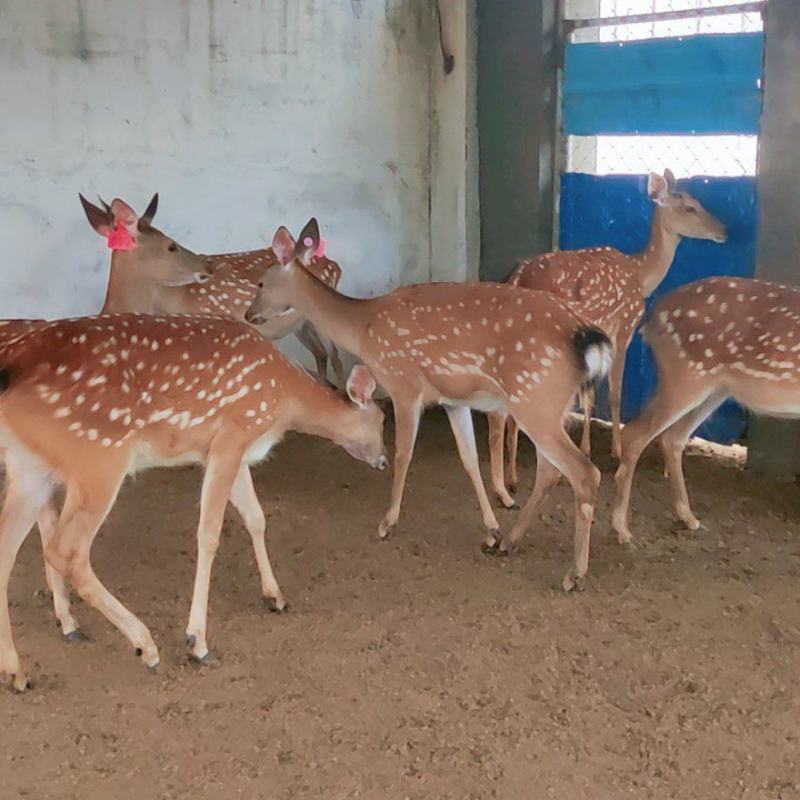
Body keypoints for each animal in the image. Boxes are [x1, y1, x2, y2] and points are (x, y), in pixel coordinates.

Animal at [0, 313, 386, 691]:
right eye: (382, 420)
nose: (383, 461)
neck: (284, 396)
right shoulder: (232, 435)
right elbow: (210, 533)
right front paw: (197, 641)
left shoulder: (234, 451)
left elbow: (256, 516)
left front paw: (274, 596)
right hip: (99, 457)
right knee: (66, 550)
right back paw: (145, 645)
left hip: (29, 466)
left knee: (9, 552)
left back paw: (18, 670)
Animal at [80, 194, 346, 385]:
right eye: (171, 246)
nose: (206, 264)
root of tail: (333, 264)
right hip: (302, 324)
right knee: (321, 355)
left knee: (336, 358)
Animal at [246, 220, 615, 592]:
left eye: (261, 281)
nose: (250, 314)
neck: (364, 330)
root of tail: (590, 341)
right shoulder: (451, 399)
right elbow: (469, 460)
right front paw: (492, 531)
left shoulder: (403, 383)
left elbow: (402, 453)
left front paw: (387, 522)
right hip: (550, 405)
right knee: (550, 471)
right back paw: (511, 541)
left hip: (535, 398)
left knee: (585, 472)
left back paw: (574, 573)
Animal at [487, 169, 727, 507]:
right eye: (689, 207)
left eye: (698, 200)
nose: (724, 230)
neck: (642, 276)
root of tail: (519, 276)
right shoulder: (623, 327)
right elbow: (613, 392)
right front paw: (615, 450)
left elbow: (588, 396)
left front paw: (586, 447)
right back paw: (510, 485)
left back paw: (512, 479)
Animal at [612, 276, 800, 545]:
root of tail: (652, 317)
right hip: (687, 376)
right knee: (636, 434)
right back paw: (622, 529)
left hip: (715, 387)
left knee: (672, 437)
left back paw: (688, 517)